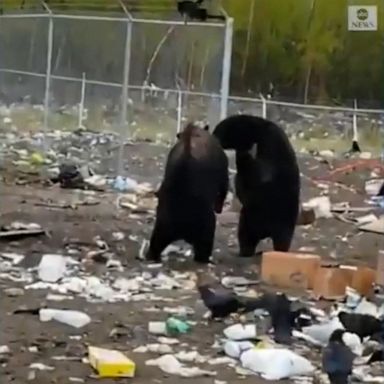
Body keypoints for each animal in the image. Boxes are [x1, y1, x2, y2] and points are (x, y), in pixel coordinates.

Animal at [145, 123, 228, 264]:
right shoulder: (222, 169)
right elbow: (224, 188)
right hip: (206, 227)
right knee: (204, 247)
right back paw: (205, 259)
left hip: (163, 225)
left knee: (156, 242)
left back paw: (151, 256)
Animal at [213, 115, 300, 258]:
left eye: (219, 130)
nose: (213, 136)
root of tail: (266, 231)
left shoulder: (270, 142)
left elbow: (263, 172)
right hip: (249, 218)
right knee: (245, 235)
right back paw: (246, 251)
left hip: (284, 217)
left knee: (281, 237)